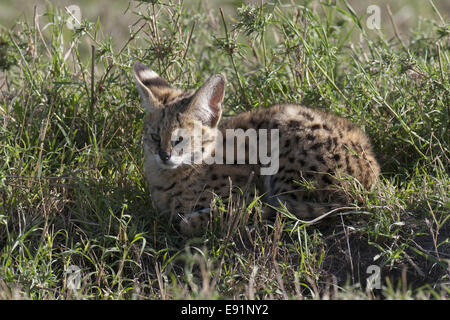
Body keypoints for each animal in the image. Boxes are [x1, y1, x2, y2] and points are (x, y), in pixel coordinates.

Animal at [133, 63, 380, 236]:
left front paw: (194, 221)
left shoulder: (245, 195)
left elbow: (221, 214)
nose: (164, 155)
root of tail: (372, 174)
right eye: (155, 136)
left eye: (180, 139)